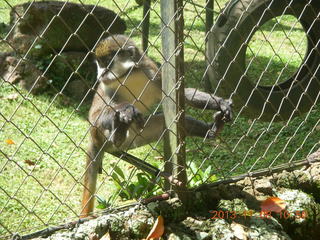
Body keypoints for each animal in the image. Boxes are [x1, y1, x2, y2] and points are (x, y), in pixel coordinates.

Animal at [79, 34, 230, 218]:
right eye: (99, 64)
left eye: (107, 62)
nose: (100, 74)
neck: (128, 75)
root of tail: (94, 140)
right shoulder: (106, 86)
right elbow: (95, 115)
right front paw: (125, 109)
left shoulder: (150, 71)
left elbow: (180, 95)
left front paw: (220, 103)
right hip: (101, 135)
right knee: (108, 126)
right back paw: (119, 133)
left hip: (137, 137)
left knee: (168, 122)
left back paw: (212, 132)